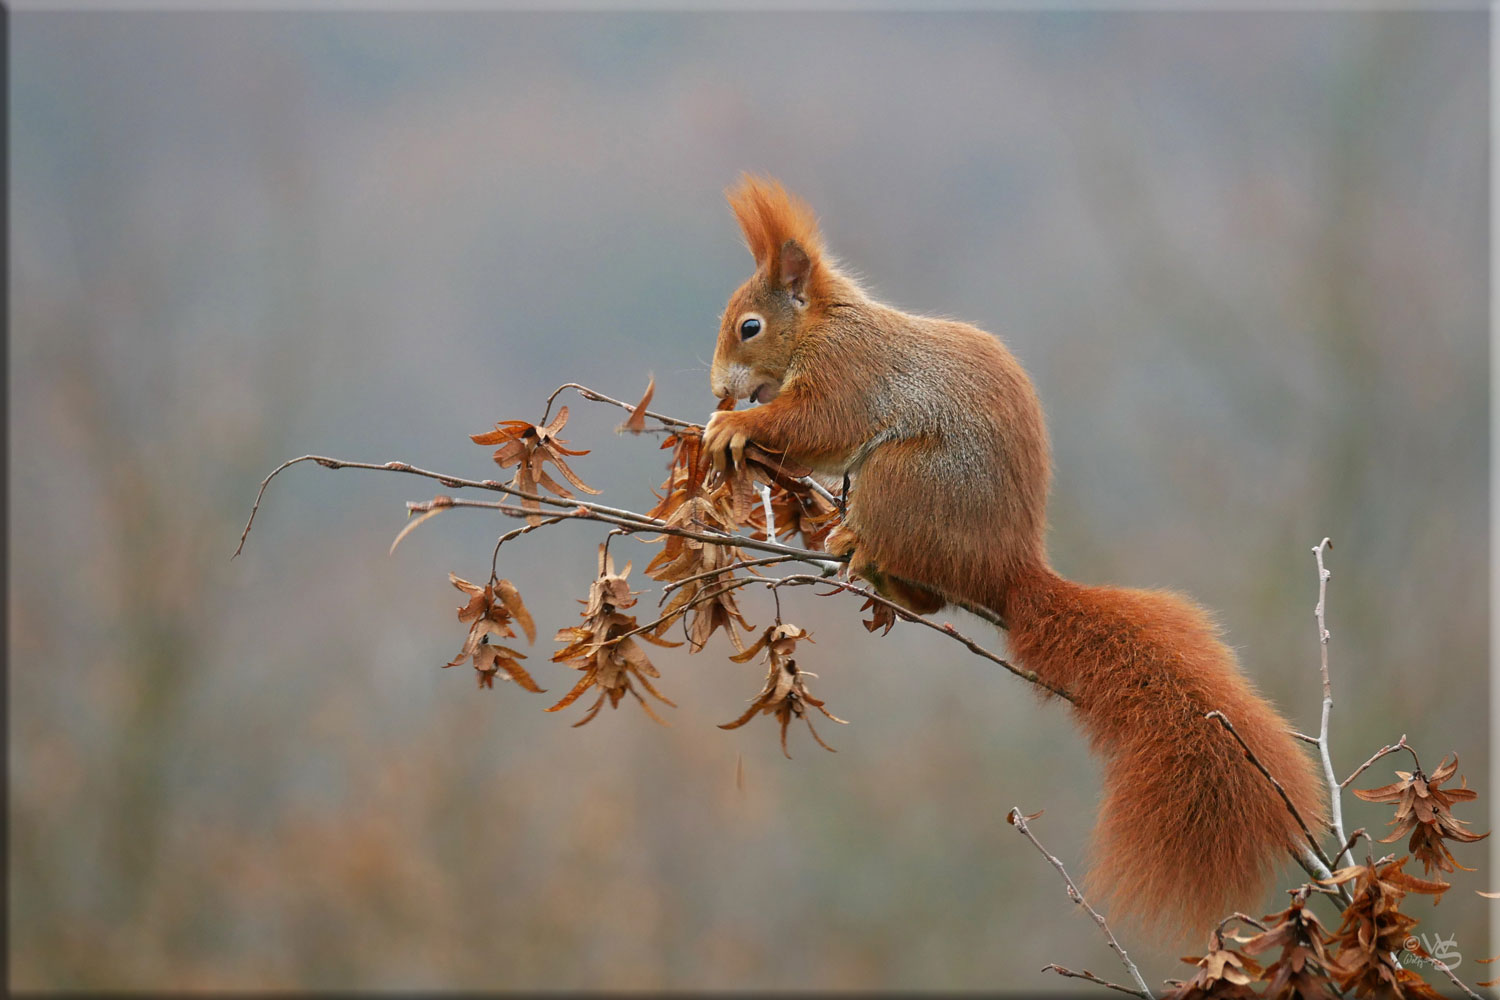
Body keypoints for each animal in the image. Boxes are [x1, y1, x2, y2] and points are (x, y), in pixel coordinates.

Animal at [702, 177, 1326, 941]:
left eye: (749, 328)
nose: (718, 387)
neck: (825, 322)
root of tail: (1008, 571)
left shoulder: (848, 372)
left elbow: (817, 424)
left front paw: (734, 425)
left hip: (902, 480)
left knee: (927, 581)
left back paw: (864, 553)